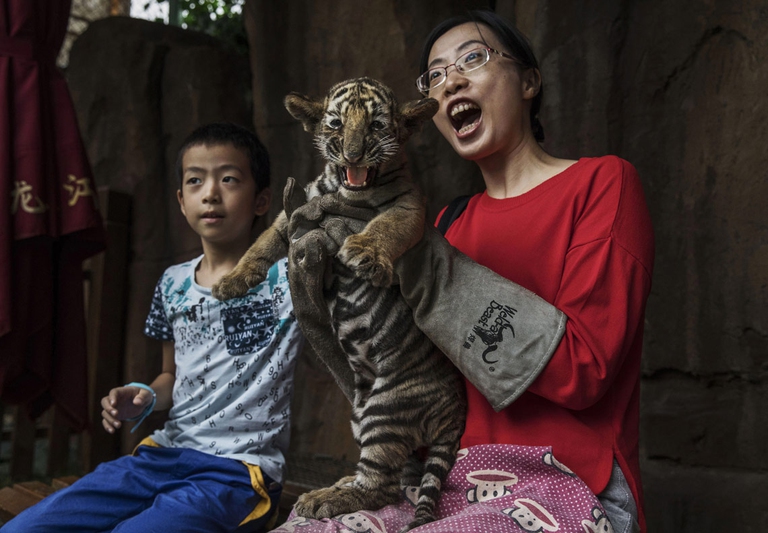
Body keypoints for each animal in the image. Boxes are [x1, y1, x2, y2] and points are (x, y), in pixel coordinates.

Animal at [212, 77, 467, 531]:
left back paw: (322, 499)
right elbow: (263, 241)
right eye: (335, 124)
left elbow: (387, 225)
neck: (342, 190)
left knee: (380, 487)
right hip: (361, 411)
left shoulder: (409, 205)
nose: (353, 155)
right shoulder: (296, 212)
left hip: (385, 408)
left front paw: (365, 254)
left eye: (377, 125)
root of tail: (454, 409)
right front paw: (233, 280)